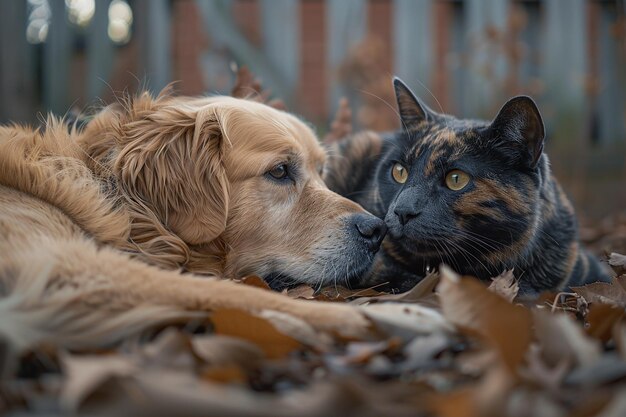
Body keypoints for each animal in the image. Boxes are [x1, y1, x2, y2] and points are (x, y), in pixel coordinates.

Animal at [0, 92, 386, 348]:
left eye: (322, 171)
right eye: (279, 171)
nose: (377, 231)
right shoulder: (72, 266)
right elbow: (236, 294)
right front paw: (359, 318)